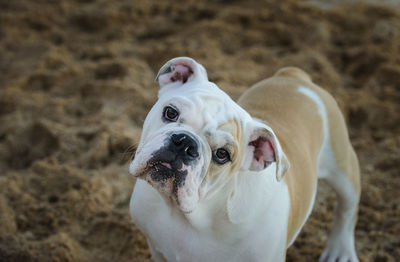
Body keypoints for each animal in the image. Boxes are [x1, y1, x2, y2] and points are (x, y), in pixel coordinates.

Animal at [130, 57, 360, 262]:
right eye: (170, 112)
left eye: (222, 154)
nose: (185, 144)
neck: (193, 218)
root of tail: (295, 78)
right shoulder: (157, 250)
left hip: (342, 167)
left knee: (347, 208)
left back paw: (341, 250)